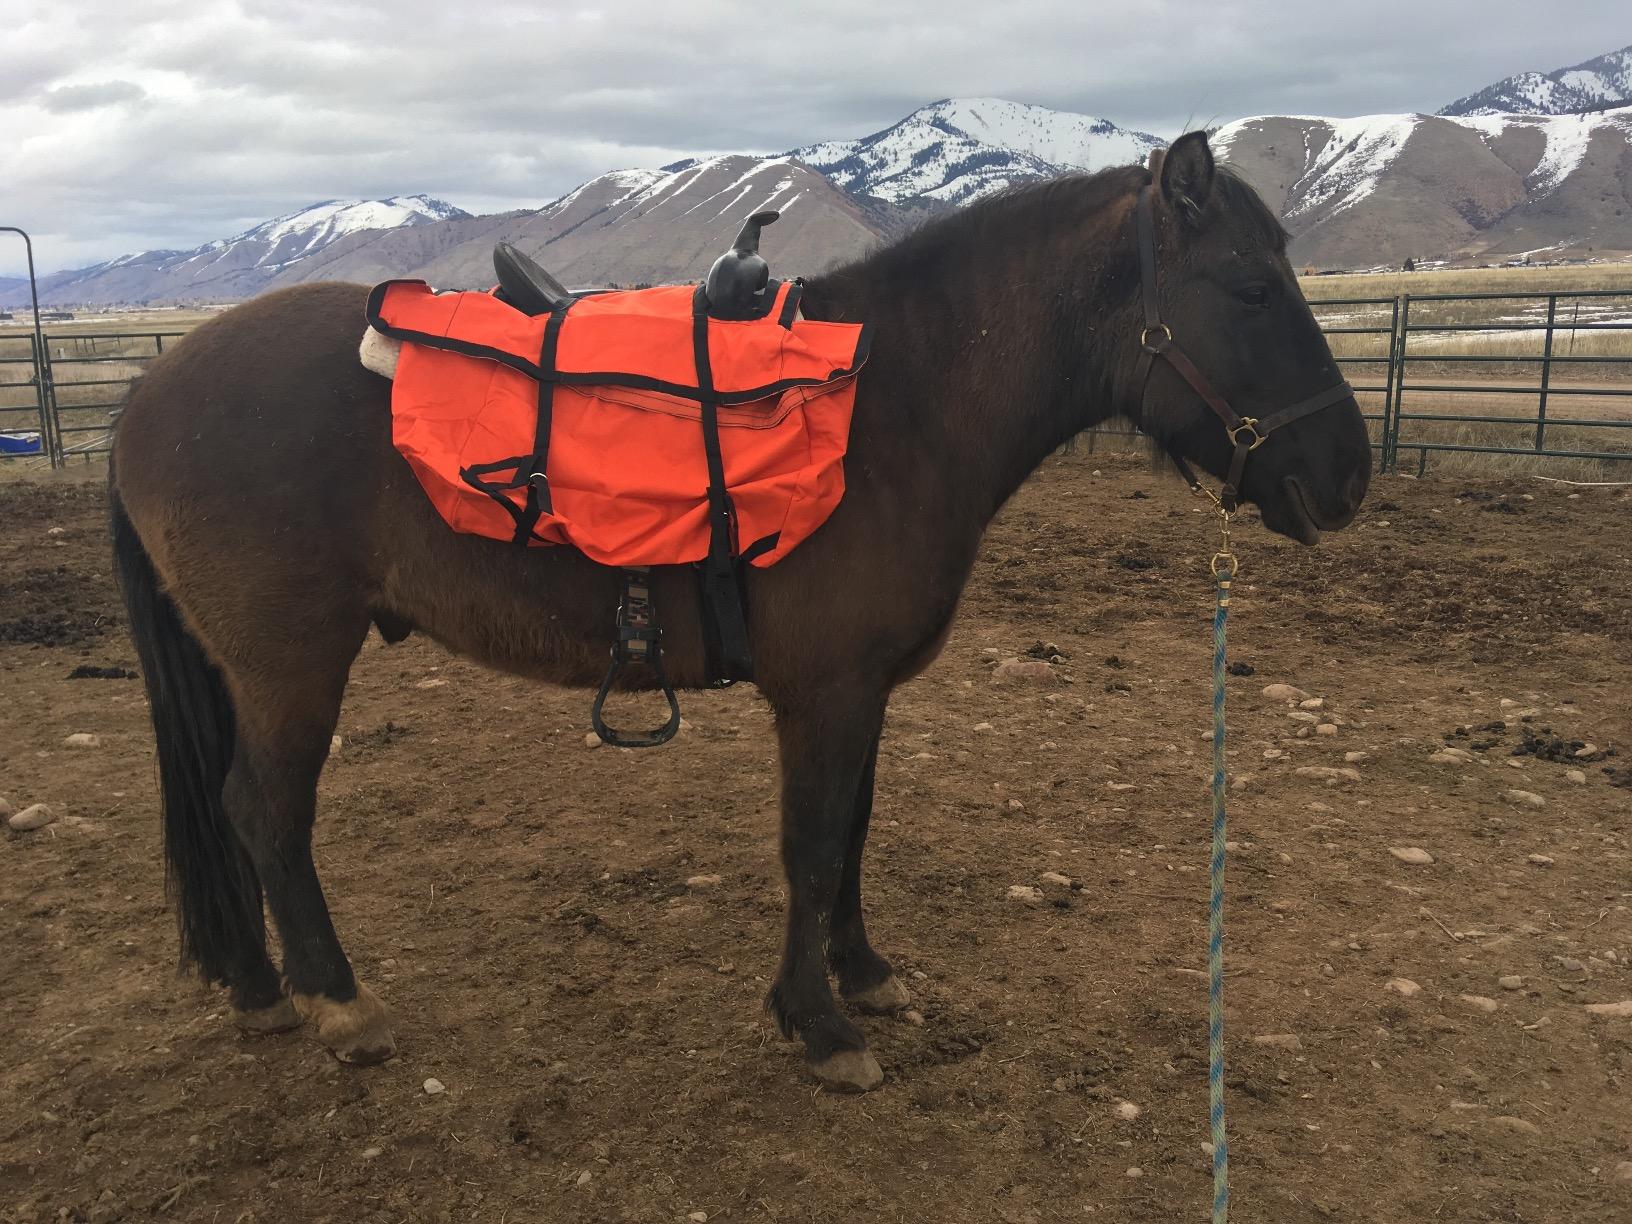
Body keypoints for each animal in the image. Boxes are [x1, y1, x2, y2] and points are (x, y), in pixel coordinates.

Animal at [108, 132, 1370, 1093]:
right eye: (1253, 289)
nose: (1349, 475)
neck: (893, 411)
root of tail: (151, 389)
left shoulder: (862, 694)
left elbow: (853, 831)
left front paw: (863, 975)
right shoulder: (824, 694)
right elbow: (810, 847)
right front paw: (819, 1024)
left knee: (230, 812)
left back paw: (262, 989)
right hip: (289, 665)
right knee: (265, 813)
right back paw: (337, 1002)